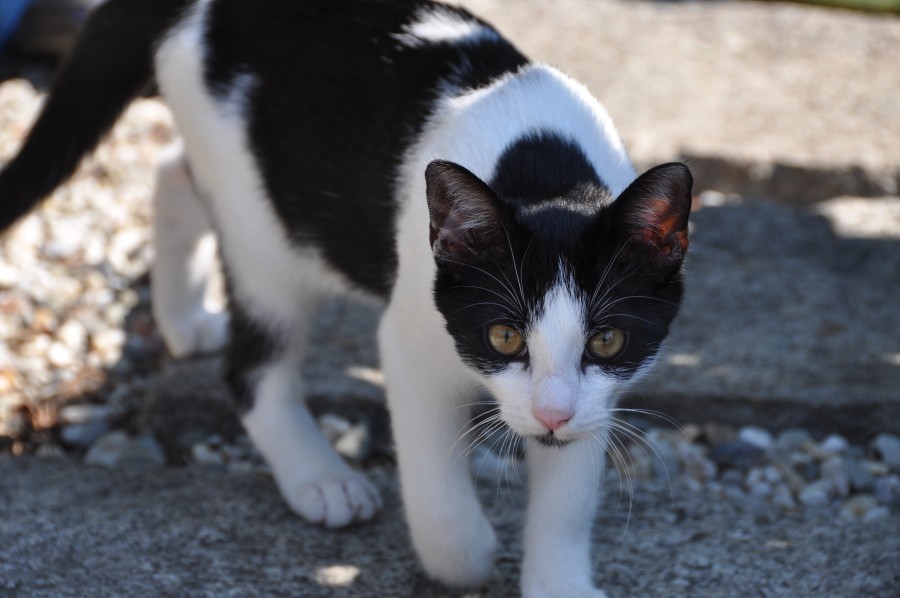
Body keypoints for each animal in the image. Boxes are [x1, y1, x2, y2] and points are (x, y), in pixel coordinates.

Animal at [0, 0, 692, 596]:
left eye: (606, 339)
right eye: (504, 336)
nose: (551, 417)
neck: (545, 168)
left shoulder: (598, 397)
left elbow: (568, 497)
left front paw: (557, 583)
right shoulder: (411, 339)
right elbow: (436, 489)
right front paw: (462, 556)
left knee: (174, 169)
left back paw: (183, 319)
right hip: (264, 231)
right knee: (252, 367)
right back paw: (320, 477)